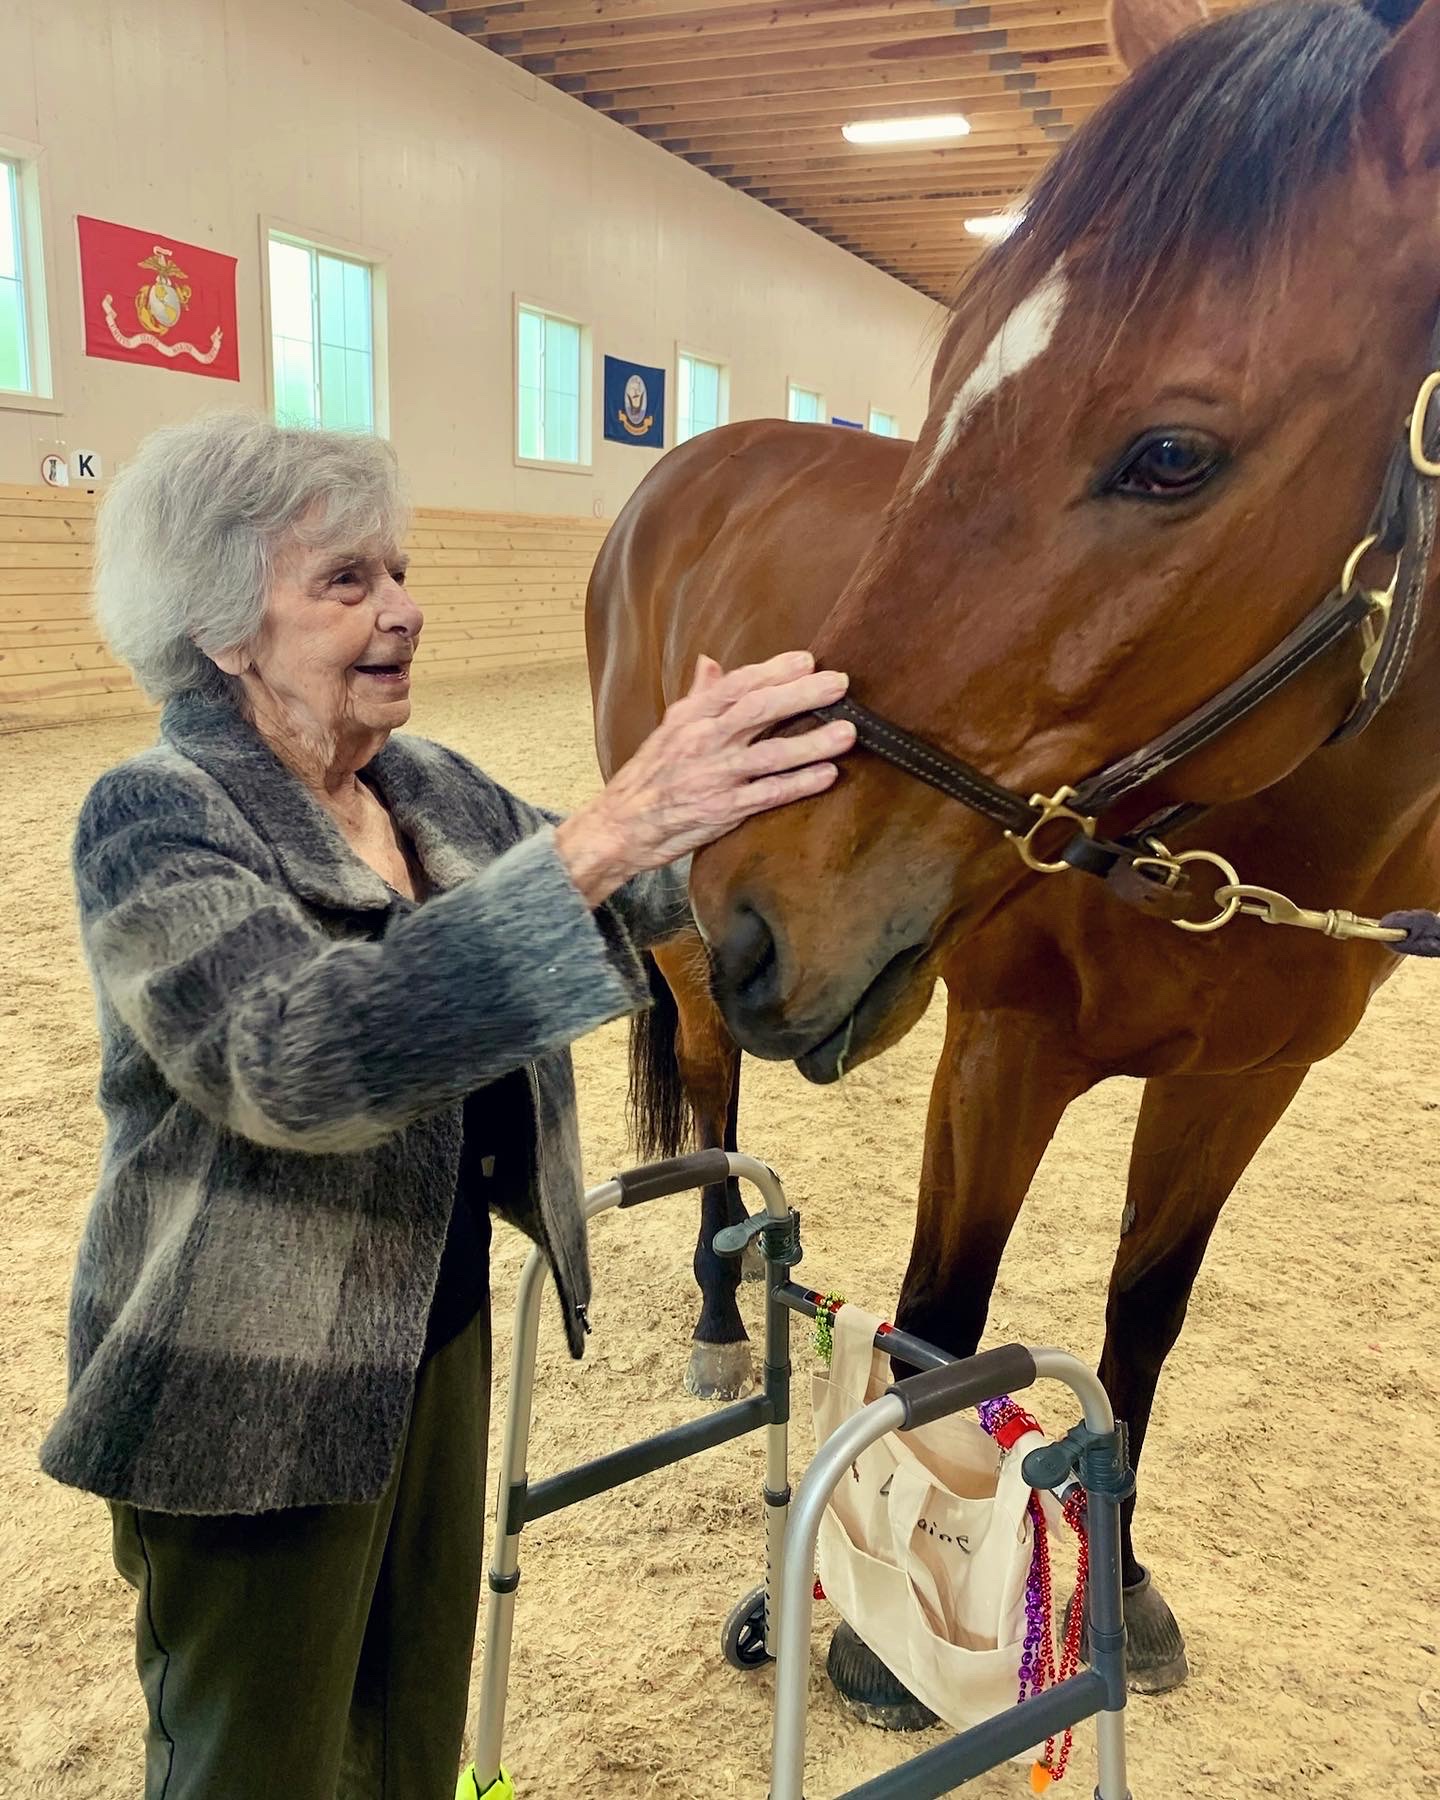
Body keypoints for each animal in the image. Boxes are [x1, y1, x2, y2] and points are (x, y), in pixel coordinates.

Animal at [585, 0, 1440, 1707]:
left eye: (1171, 454)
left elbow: (1142, 1323)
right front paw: (868, 1628)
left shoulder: (1240, 1087)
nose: (764, 915)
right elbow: (939, 1320)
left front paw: (1121, 1572)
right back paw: (719, 1304)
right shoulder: (1000, 1050)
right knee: (708, 1092)